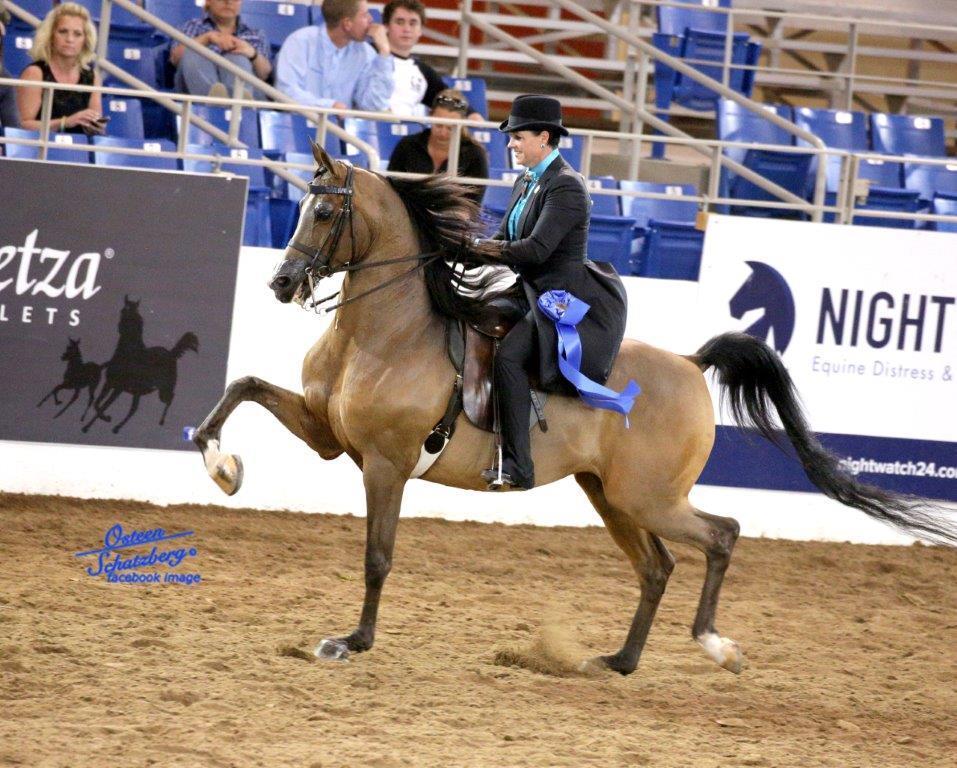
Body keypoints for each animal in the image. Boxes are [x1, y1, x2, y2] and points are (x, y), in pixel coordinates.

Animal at [83, 297, 199, 434]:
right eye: (123, 311)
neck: (127, 355)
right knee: (134, 409)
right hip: (138, 392)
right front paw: (91, 424)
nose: (122, 328)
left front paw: (105, 418)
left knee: (170, 398)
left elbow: (105, 405)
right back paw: (116, 428)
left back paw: (161, 421)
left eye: (138, 317)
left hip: (162, 390)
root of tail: (171, 354)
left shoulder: (119, 388)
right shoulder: (109, 383)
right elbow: (98, 404)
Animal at [193, 144, 957, 675]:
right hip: (608, 495)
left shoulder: (386, 462)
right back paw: (616, 662)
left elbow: (378, 555)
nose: (281, 282)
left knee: (721, 535)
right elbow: (243, 387)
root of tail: (690, 364)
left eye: (325, 211)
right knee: (657, 568)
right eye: (299, 208)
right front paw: (222, 465)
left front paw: (350, 641)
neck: (382, 333)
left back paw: (714, 645)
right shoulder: (329, 434)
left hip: (647, 497)